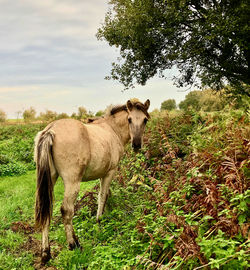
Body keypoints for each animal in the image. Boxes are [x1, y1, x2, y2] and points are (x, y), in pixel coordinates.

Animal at [34, 98, 149, 262]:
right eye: (129, 119)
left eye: (145, 120)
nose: (137, 144)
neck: (112, 129)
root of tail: (51, 130)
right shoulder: (109, 172)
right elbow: (102, 196)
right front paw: (99, 220)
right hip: (72, 182)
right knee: (66, 210)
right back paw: (73, 244)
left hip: (50, 179)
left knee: (46, 210)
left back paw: (46, 253)